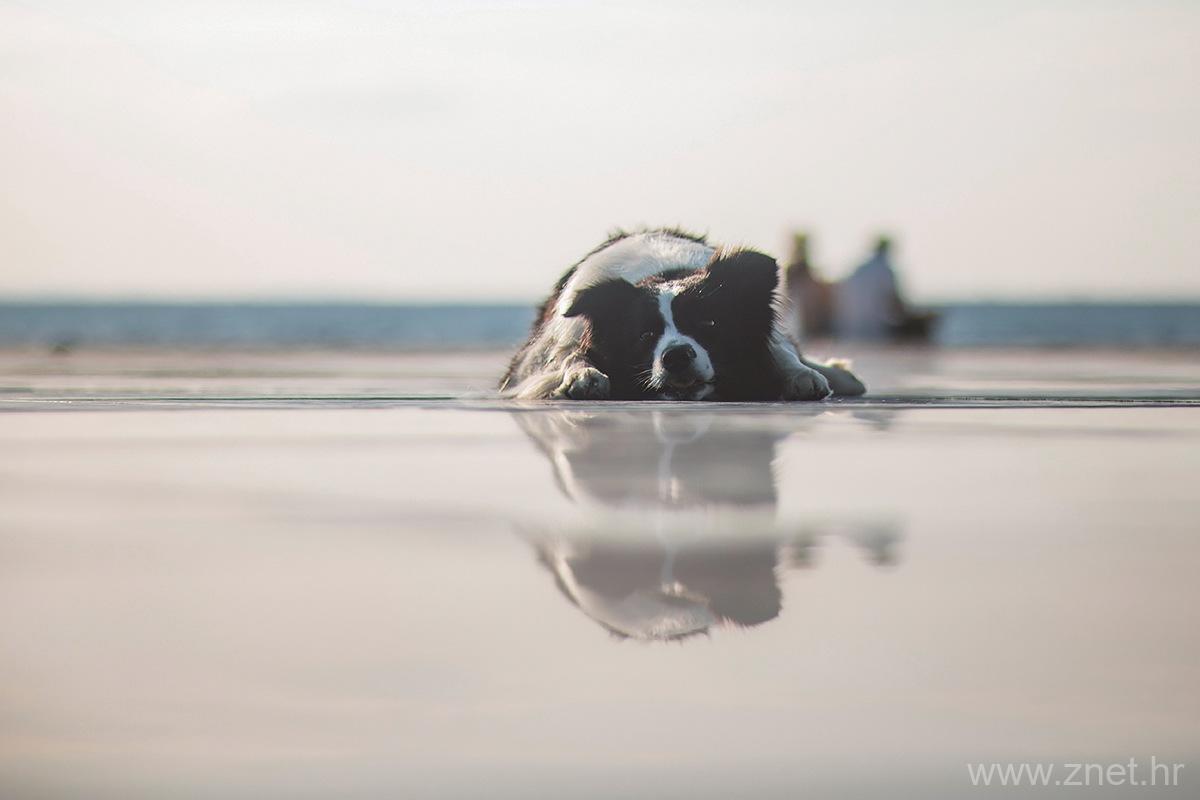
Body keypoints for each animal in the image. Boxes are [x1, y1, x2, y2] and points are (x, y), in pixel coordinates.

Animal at [500, 228, 866, 400]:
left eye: (710, 323)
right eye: (645, 335)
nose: (676, 356)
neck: (662, 272)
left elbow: (781, 350)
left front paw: (801, 375)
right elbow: (568, 355)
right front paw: (582, 374)